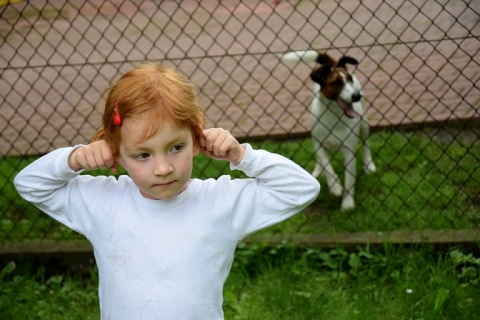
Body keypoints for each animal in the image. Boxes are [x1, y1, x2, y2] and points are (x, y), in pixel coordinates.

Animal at [280, 50, 376, 211]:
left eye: (349, 80)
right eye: (336, 82)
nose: (356, 96)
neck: (334, 116)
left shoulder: (348, 151)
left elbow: (349, 179)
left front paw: (347, 203)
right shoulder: (319, 144)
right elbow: (327, 167)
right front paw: (335, 186)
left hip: (364, 124)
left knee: (366, 144)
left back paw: (369, 165)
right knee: (322, 161)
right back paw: (318, 171)